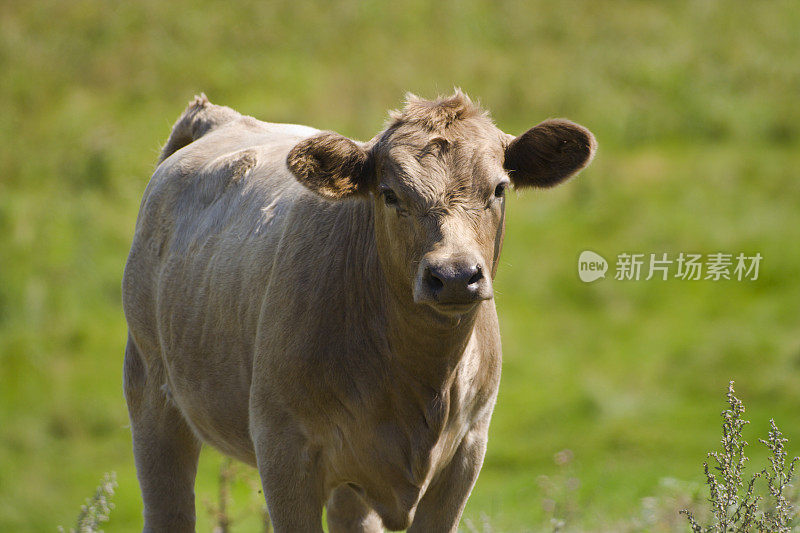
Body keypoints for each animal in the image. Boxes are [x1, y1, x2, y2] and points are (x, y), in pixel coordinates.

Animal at [120, 92, 592, 532]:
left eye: (498, 189)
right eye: (389, 194)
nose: (455, 275)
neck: (419, 380)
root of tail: (218, 117)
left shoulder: (466, 452)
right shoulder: (283, 450)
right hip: (150, 394)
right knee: (168, 509)